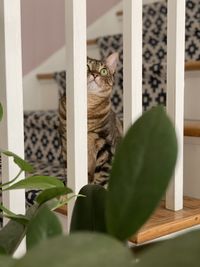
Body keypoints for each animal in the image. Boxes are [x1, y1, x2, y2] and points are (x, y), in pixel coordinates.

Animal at [58, 52, 122, 186]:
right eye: (87, 67)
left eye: (103, 71)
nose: (95, 74)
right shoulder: (66, 142)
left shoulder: (106, 144)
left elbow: (101, 175)